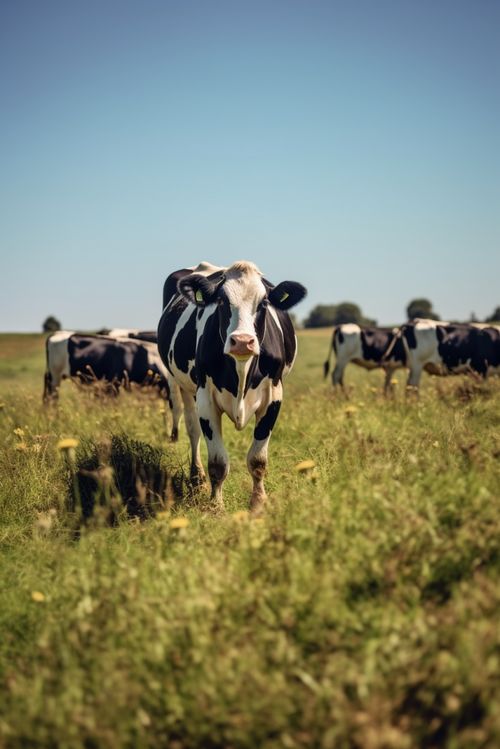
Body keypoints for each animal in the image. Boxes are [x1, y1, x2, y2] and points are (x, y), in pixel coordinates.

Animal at [157, 260, 304, 512]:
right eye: (222, 302)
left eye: (264, 303)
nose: (243, 341)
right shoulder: (206, 398)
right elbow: (218, 463)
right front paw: (216, 506)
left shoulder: (274, 396)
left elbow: (257, 460)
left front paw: (258, 503)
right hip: (182, 385)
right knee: (192, 428)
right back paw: (197, 479)